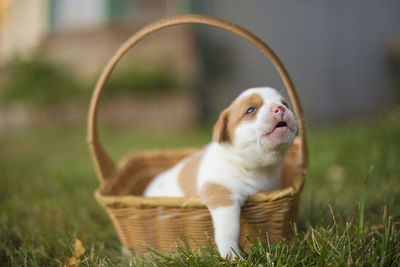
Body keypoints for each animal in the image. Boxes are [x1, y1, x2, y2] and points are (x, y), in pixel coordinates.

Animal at [144, 88, 296, 260]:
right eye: (250, 110)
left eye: (286, 104)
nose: (280, 109)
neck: (256, 168)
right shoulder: (221, 193)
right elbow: (229, 228)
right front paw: (231, 254)